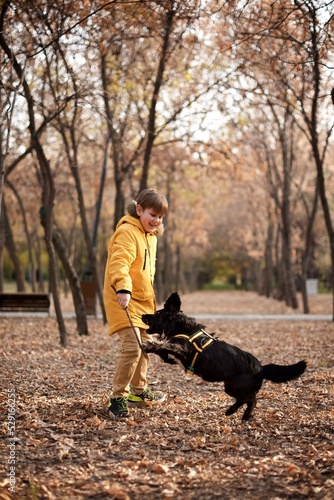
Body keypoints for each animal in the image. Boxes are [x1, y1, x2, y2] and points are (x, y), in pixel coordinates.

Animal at [142, 292, 306, 424]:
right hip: (230, 386)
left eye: (157, 313)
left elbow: (165, 345)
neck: (180, 326)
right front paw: (159, 352)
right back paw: (230, 411)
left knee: (251, 400)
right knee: (244, 399)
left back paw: (245, 416)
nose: (143, 315)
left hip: (237, 386)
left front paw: (150, 346)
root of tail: (261, 368)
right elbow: (164, 348)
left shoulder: (182, 349)